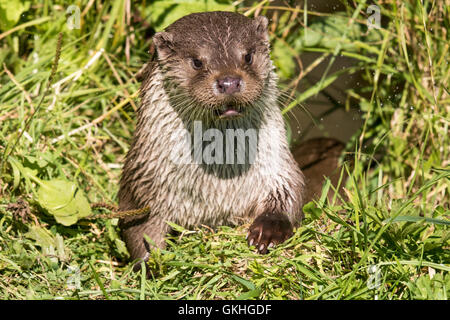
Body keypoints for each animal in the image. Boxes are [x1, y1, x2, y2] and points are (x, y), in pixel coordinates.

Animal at [118, 11, 304, 264]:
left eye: (247, 56)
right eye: (197, 62)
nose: (229, 82)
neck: (217, 190)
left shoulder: (277, 167)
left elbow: (291, 193)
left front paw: (267, 232)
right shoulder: (143, 186)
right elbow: (139, 228)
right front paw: (148, 263)